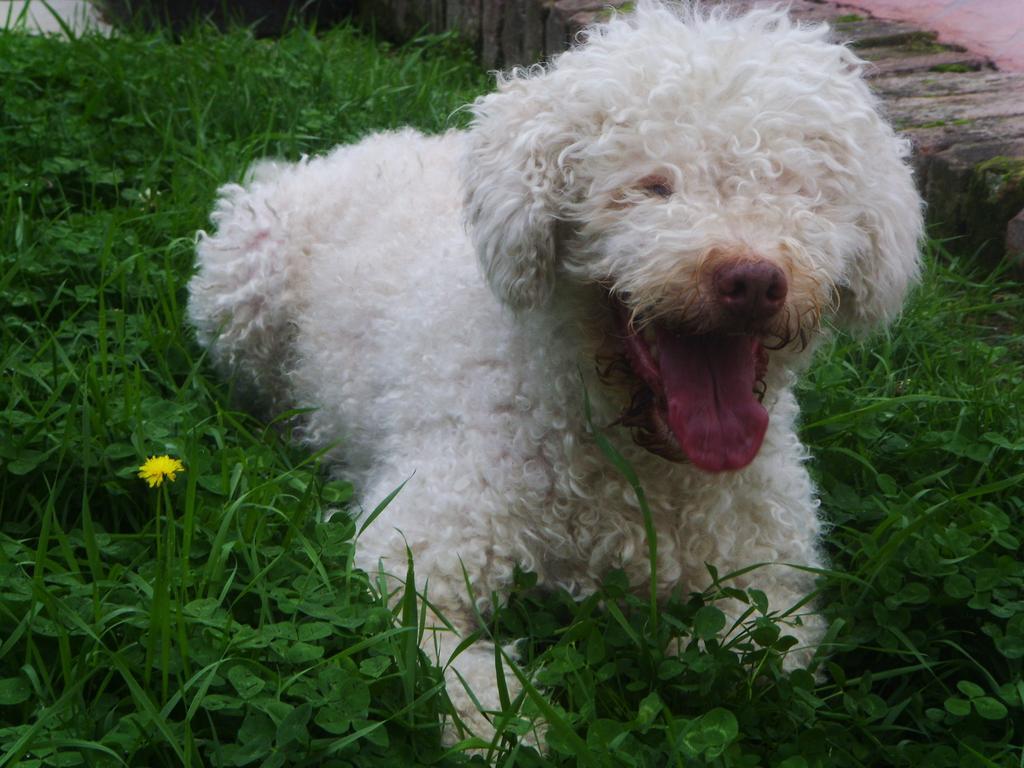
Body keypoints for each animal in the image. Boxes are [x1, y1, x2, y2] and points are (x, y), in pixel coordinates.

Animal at [188, 0, 925, 745]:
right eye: (652, 186)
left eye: (800, 192)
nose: (751, 279)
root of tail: (345, 150)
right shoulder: (421, 547)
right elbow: (448, 659)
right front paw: (506, 722)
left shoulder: (771, 569)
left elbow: (760, 652)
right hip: (242, 288)